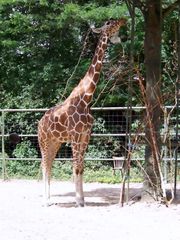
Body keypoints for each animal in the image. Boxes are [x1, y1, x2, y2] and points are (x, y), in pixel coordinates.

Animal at [37, 18, 126, 206]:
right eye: (109, 23)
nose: (123, 19)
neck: (86, 98)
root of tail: (40, 122)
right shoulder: (76, 135)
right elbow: (76, 167)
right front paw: (78, 201)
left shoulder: (86, 135)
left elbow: (81, 168)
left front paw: (83, 199)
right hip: (44, 141)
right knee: (44, 166)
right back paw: (46, 200)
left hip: (55, 142)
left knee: (48, 165)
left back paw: (49, 199)